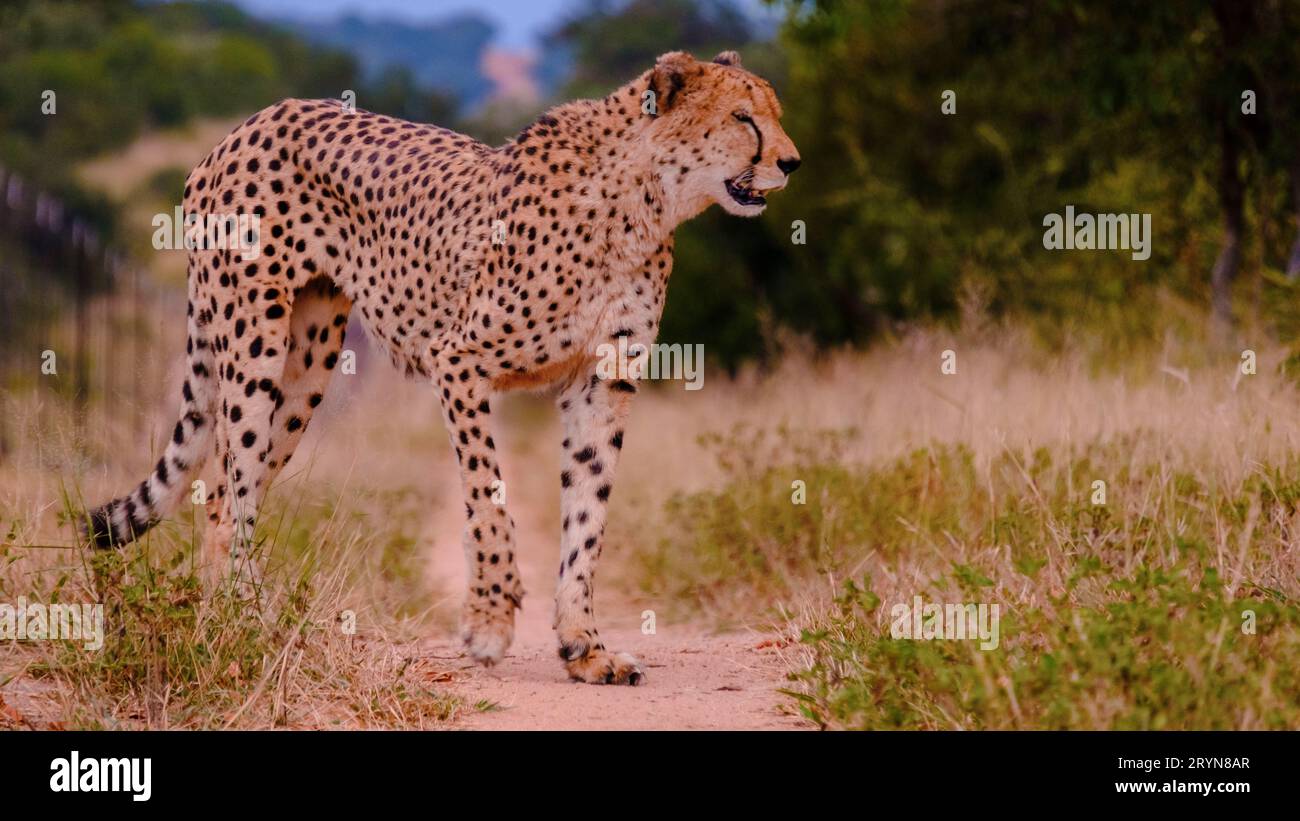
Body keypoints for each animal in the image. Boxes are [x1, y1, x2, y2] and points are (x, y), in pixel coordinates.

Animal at [83, 48, 800, 680]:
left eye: (775, 112)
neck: (641, 197)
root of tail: (246, 125)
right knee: (228, 492)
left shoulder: (602, 380)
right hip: (253, 343)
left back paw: (236, 624)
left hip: (307, 359)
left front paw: (584, 647)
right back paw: (238, 629)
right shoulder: (457, 359)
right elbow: (487, 494)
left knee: (226, 496)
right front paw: (490, 620)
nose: (791, 162)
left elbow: (587, 516)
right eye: (743, 118)